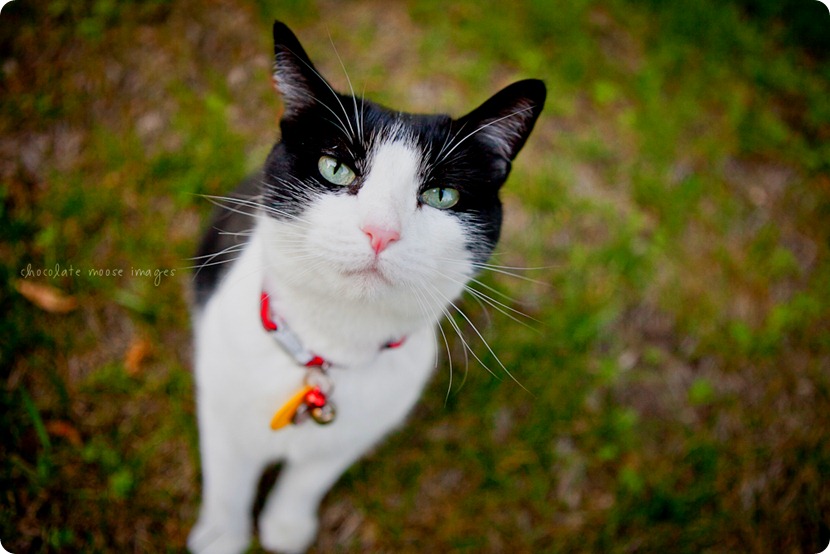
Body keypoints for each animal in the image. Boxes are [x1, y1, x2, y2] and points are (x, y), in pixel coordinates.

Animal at [187, 20, 544, 552]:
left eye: (442, 195)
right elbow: (228, 478)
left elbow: (308, 478)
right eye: (335, 168)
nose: (381, 231)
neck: (331, 346)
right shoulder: (221, 401)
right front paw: (221, 537)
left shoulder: (360, 429)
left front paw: (286, 527)